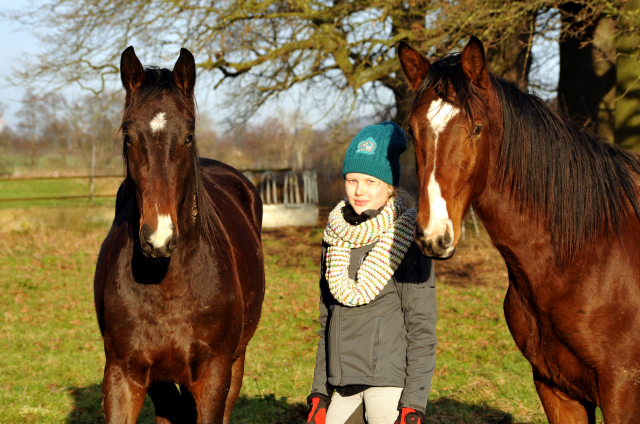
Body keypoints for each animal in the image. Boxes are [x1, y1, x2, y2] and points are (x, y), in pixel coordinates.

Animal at [93, 47, 264, 424]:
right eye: (128, 137)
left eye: (188, 136)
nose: (157, 239)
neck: (167, 284)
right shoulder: (123, 375)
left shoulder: (215, 375)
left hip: (236, 362)